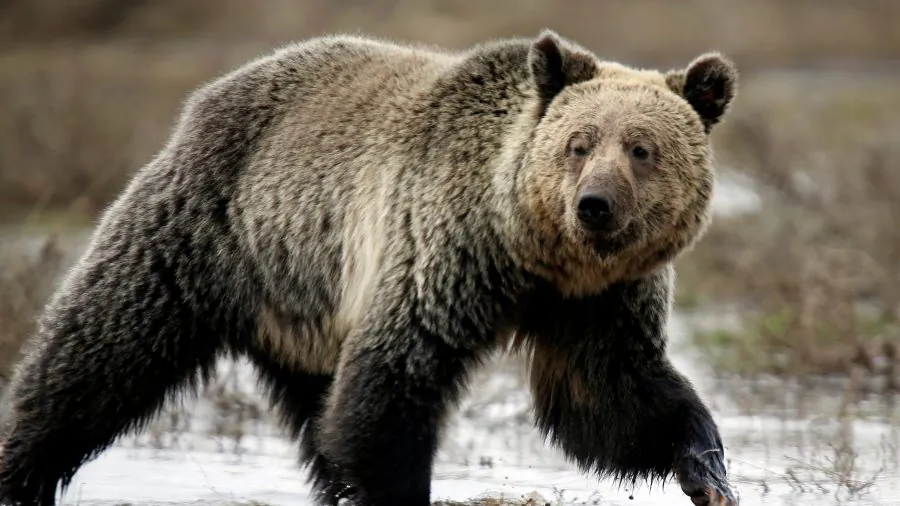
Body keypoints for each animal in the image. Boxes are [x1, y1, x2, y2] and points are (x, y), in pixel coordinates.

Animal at [0, 29, 738, 506]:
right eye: (579, 144)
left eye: (641, 148)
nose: (594, 205)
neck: (534, 254)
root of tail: (209, 95)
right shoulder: (443, 251)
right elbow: (392, 383)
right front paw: (399, 491)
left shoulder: (599, 301)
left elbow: (609, 396)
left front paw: (707, 468)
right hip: (206, 232)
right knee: (99, 353)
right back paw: (22, 467)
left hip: (306, 302)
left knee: (318, 411)